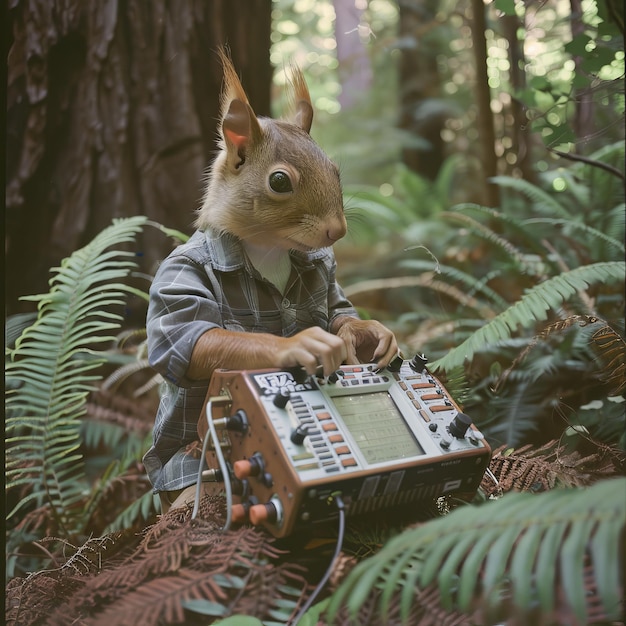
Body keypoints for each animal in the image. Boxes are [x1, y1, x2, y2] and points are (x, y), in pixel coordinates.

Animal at [144, 50, 398, 508]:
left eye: (335, 170)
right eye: (279, 181)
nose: (337, 231)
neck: (270, 249)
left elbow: (338, 309)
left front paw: (368, 333)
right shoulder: (177, 274)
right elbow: (195, 337)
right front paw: (302, 345)